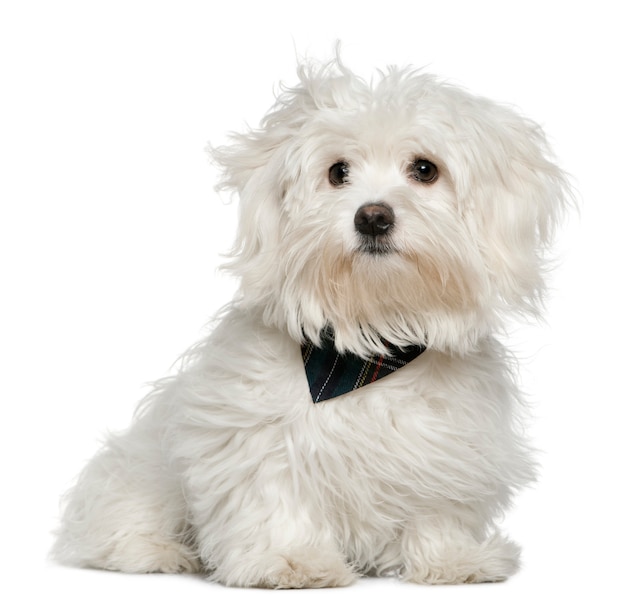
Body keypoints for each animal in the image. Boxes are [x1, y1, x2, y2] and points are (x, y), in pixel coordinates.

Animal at [53, 54, 568, 588]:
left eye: (425, 169)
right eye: (338, 172)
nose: (373, 216)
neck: (369, 341)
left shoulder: (445, 441)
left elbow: (437, 504)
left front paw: (452, 559)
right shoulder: (257, 439)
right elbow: (276, 499)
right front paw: (291, 561)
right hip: (141, 473)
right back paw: (155, 550)